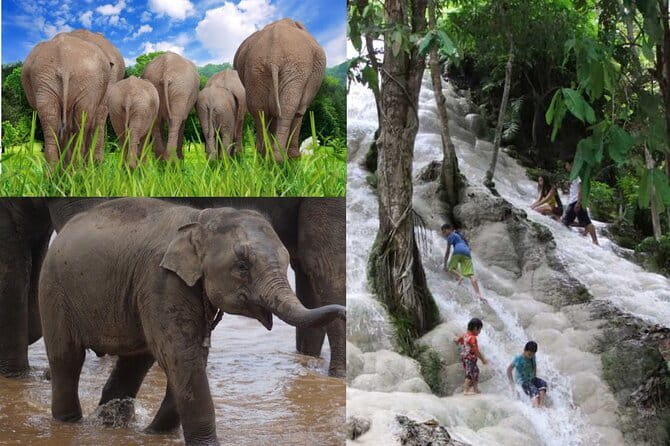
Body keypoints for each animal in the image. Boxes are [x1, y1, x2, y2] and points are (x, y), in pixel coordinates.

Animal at [21, 34, 112, 166]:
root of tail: (64, 61)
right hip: (84, 78)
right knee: (81, 121)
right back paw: (77, 168)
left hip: (44, 79)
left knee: (51, 120)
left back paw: (55, 170)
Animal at [38, 198, 346, 445]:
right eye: (242, 266)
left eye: (284, 261)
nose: (344, 311)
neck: (201, 221)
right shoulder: (160, 281)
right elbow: (182, 355)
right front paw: (205, 443)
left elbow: (191, 354)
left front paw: (155, 433)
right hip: (54, 292)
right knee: (67, 359)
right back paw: (71, 423)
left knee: (135, 362)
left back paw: (111, 424)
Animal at [234, 18, 326, 162]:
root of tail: (274, 56)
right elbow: (299, 111)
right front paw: (294, 158)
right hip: (295, 67)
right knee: (288, 109)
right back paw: (278, 159)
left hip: (257, 71)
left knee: (260, 110)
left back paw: (266, 158)